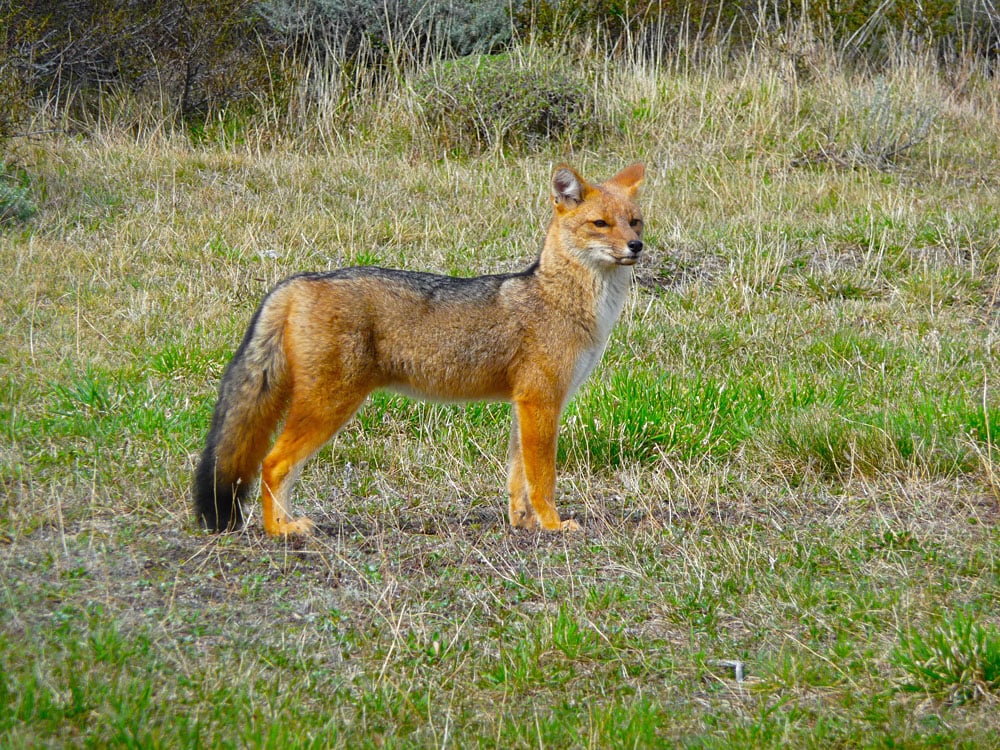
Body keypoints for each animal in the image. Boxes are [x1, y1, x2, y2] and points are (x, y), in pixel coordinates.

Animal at [193, 162, 645, 536]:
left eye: (635, 223)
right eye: (601, 223)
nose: (636, 247)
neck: (561, 299)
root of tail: (300, 281)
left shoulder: (528, 404)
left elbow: (519, 479)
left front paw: (524, 524)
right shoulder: (541, 402)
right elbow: (543, 478)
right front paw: (552, 525)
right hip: (328, 407)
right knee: (272, 465)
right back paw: (281, 531)